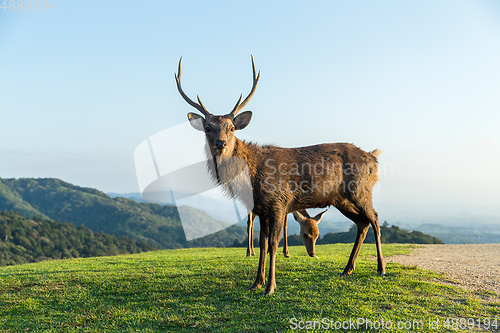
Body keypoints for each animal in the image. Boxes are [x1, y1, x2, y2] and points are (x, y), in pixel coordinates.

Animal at [177, 56, 386, 294]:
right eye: (208, 127)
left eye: (231, 128)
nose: (221, 144)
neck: (252, 176)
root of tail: (373, 158)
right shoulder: (261, 208)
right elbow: (262, 244)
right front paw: (256, 283)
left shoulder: (278, 201)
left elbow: (273, 244)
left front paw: (270, 286)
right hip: (340, 199)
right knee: (362, 223)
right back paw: (347, 269)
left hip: (361, 190)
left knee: (375, 218)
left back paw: (380, 268)